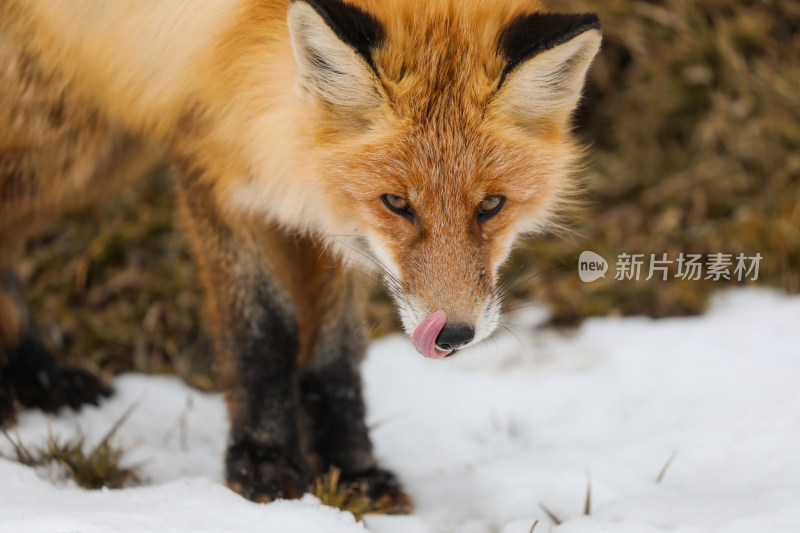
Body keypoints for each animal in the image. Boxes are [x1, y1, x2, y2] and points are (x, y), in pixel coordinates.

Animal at [0, 0, 600, 502]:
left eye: (492, 205)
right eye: (396, 203)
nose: (452, 334)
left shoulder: (333, 217)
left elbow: (335, 351)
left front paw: (352, 469)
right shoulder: (208, 158)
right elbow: (262, 332)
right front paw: (263, 459)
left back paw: (37, 377)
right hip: (58, 134)